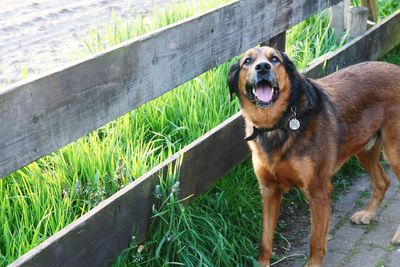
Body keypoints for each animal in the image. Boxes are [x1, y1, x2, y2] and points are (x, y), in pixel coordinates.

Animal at [227, 47, 400, 266]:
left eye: (274, 59)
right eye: (247, 61)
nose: (263, 67)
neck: (277, 124)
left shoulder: (319, 192)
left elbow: (316, 242)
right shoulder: (269, 190)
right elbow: (265, 241)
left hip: (394, 153)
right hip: (365, 149)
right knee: (382, 182)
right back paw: (368, 214)